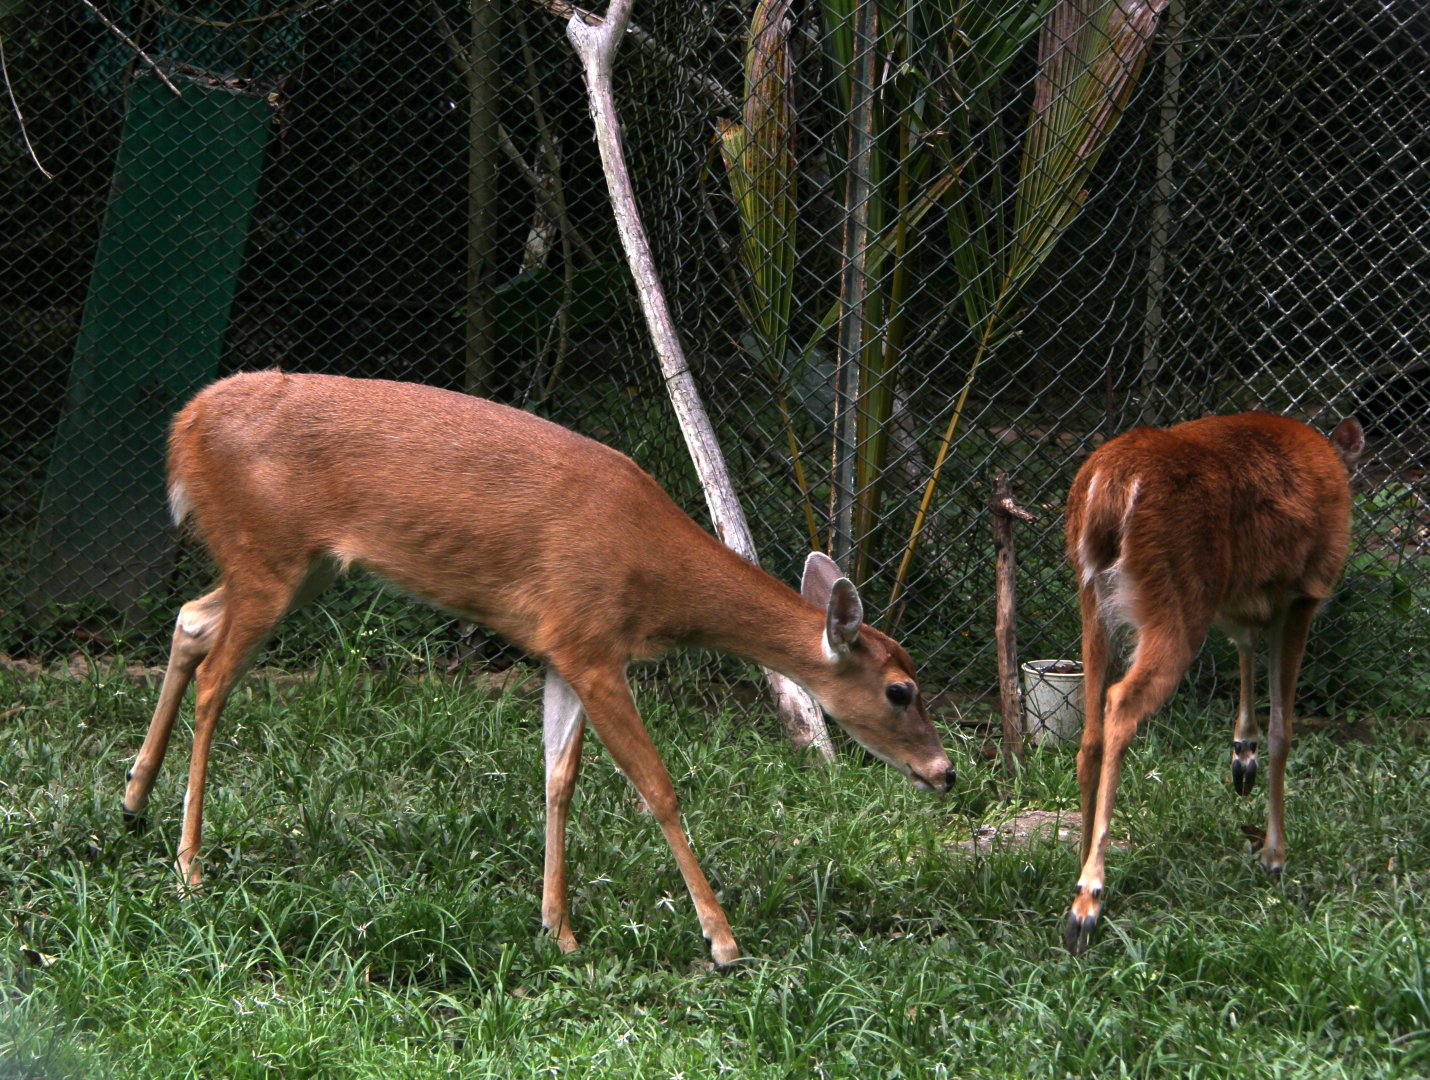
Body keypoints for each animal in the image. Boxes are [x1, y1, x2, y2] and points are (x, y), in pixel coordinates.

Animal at [120, 371, 956, 967]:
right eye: (901, 690)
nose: (945, 771)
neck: (658, 576)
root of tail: (184, 427)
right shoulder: (592, 643)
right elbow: (656, 786)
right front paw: (721, 941)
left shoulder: (563, 647)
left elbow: (558, 776)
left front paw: (559, 929)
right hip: (267, 551)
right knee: (215, 680)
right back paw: (190, 866)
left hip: (301, 567)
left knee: (190, 620)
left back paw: (133, 802)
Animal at [1062, 411, 1364, 955]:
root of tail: (1109, 484)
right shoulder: (1303, 592)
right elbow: (1283, 730)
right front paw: (1273, 855)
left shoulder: (1242, 602)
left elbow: (1245, 653)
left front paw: (1241, 759)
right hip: (1177, 595)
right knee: (1120, 704)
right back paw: (1088, 902)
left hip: (1092, 596)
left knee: (1091, 731)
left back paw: (1080, 863)